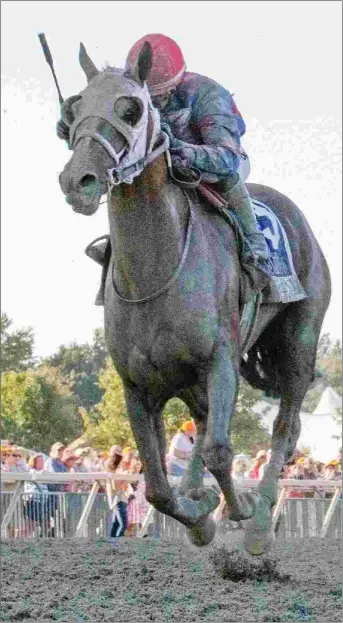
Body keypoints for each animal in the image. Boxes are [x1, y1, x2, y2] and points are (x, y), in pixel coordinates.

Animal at [58, 44, 330, 556]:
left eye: (131, 108)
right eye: (74, 108)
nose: (77, 180)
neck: (155, 270)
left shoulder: (219, 360)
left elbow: (222, 452)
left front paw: (238, 510)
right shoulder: (138, 385)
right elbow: (156, 486)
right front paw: (200, 515)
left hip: (299, 342)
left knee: (284, 430)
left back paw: (259, 517)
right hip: (188, 377)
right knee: (203, 427)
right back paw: (201, 495)